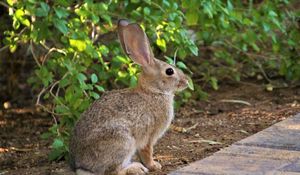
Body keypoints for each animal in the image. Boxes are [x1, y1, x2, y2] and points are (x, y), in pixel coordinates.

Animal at [69, 19, 189, 175]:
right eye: (169, 71)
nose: (186, 81)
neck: (153, 91)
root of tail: (81, 166)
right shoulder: (148, 136)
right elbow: (147, 152)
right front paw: (154, 166)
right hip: (123, 141)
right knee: (112, 171)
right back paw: (136, 168)